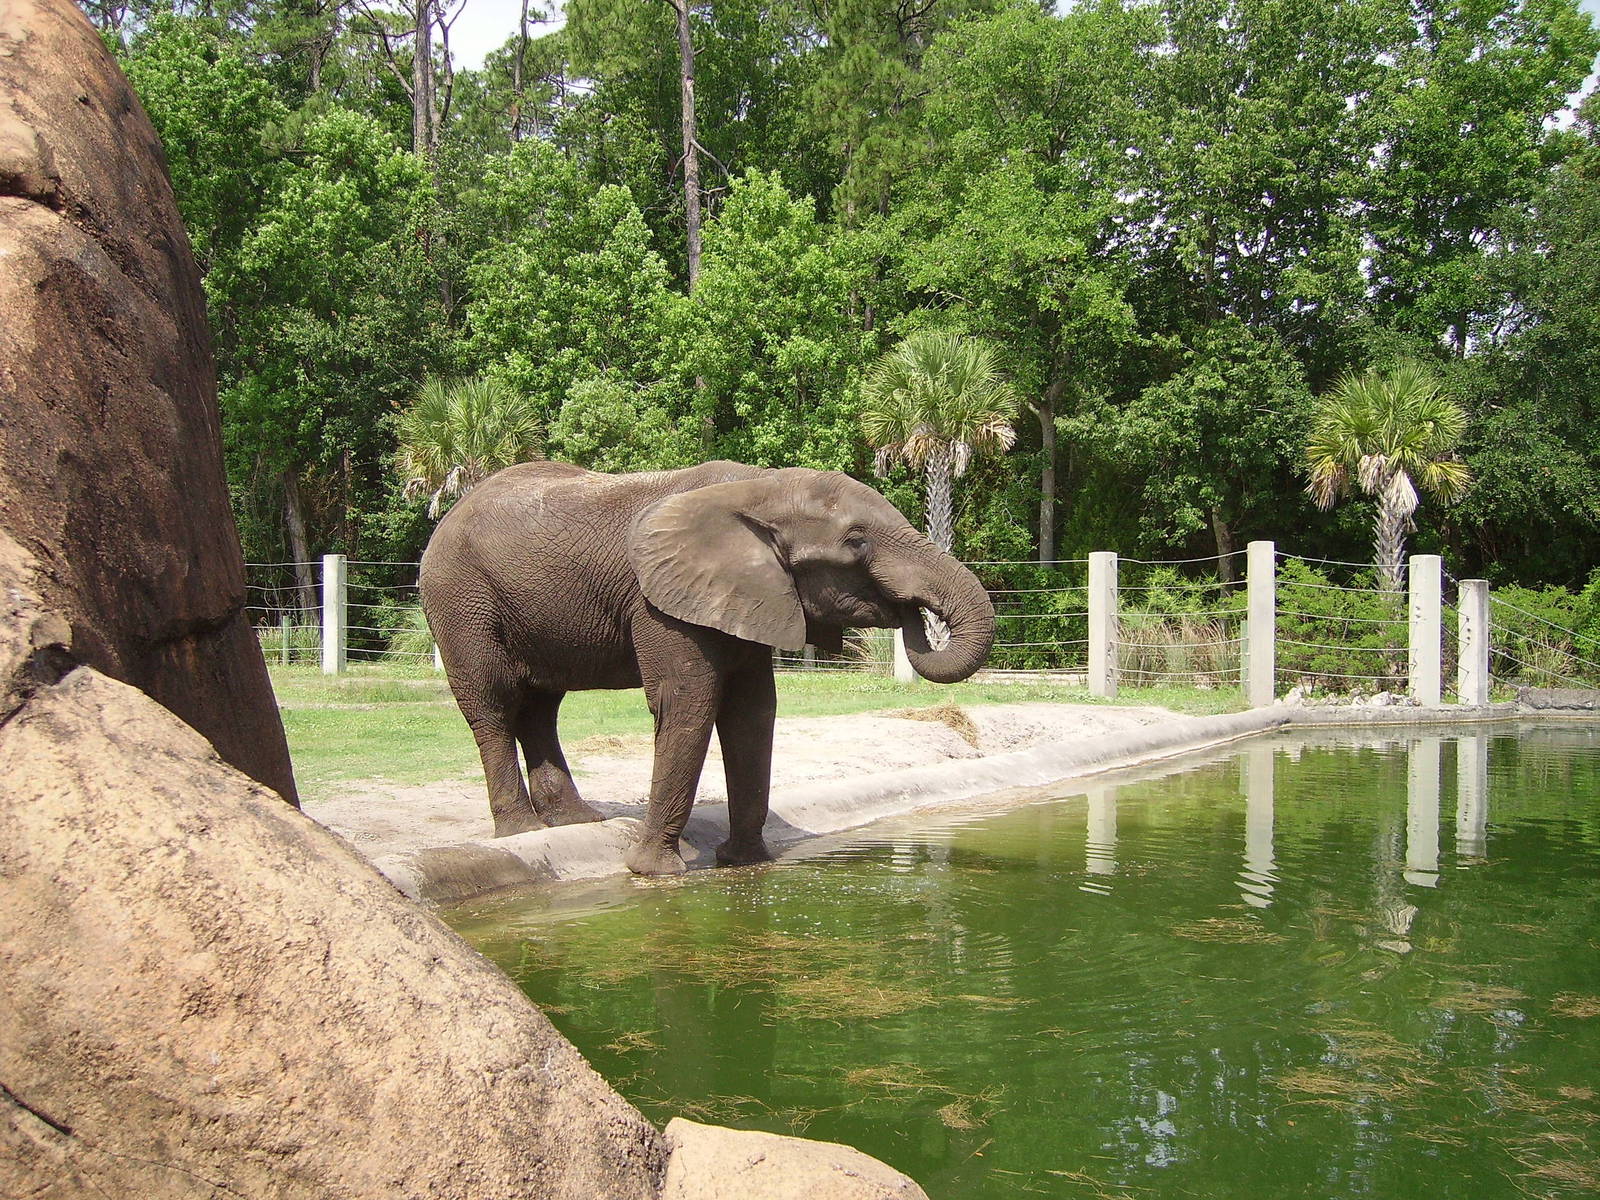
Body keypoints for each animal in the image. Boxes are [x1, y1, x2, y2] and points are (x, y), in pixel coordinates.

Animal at [418, 460, 996, 876]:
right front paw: (652, 873)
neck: (758, 488)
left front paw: (745, 863)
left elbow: (752, 713)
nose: (912, 612)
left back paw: (574, 821)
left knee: (541, 707)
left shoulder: (750, 595)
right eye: (857, 542)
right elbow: (687, 704)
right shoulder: (660, 603)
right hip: (461, 600)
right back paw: (523, 832)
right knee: (493, 703)